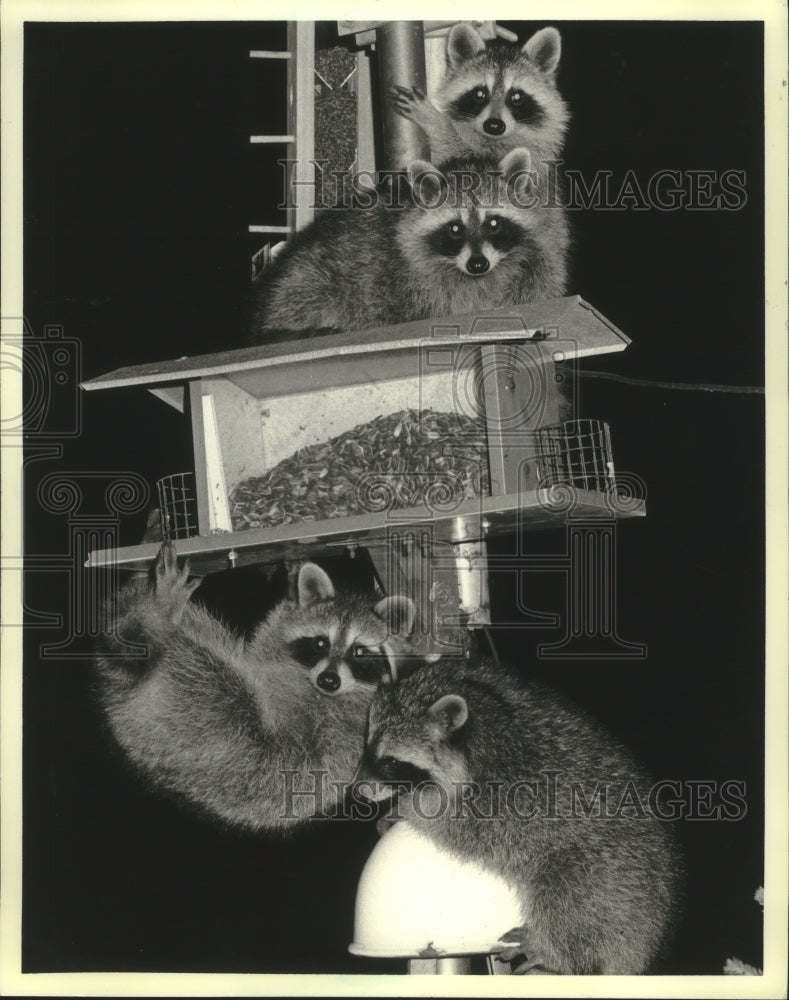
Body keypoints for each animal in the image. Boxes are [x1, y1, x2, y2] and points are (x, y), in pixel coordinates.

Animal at [94, 542, 418, 832]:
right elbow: (268, 640)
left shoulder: (333, 717)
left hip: (210, 713)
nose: (328, 679)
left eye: (360, 652)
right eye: (320, 643)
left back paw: (158, 616)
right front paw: (291, 581)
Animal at [355, 658, 683, 975]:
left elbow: (451, 820)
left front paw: (405, 806)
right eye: (367, 748)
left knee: (569, 890)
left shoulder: (506, 799)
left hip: (615, 875)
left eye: (391, 762)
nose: (357, 789)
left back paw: (552, 951)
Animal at [390, 24, 568, 184]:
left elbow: (467, 156)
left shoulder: (535, 157)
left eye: (516, 97)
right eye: (479, 94)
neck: (492, 139)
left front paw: (434, 121)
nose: (494, 126)